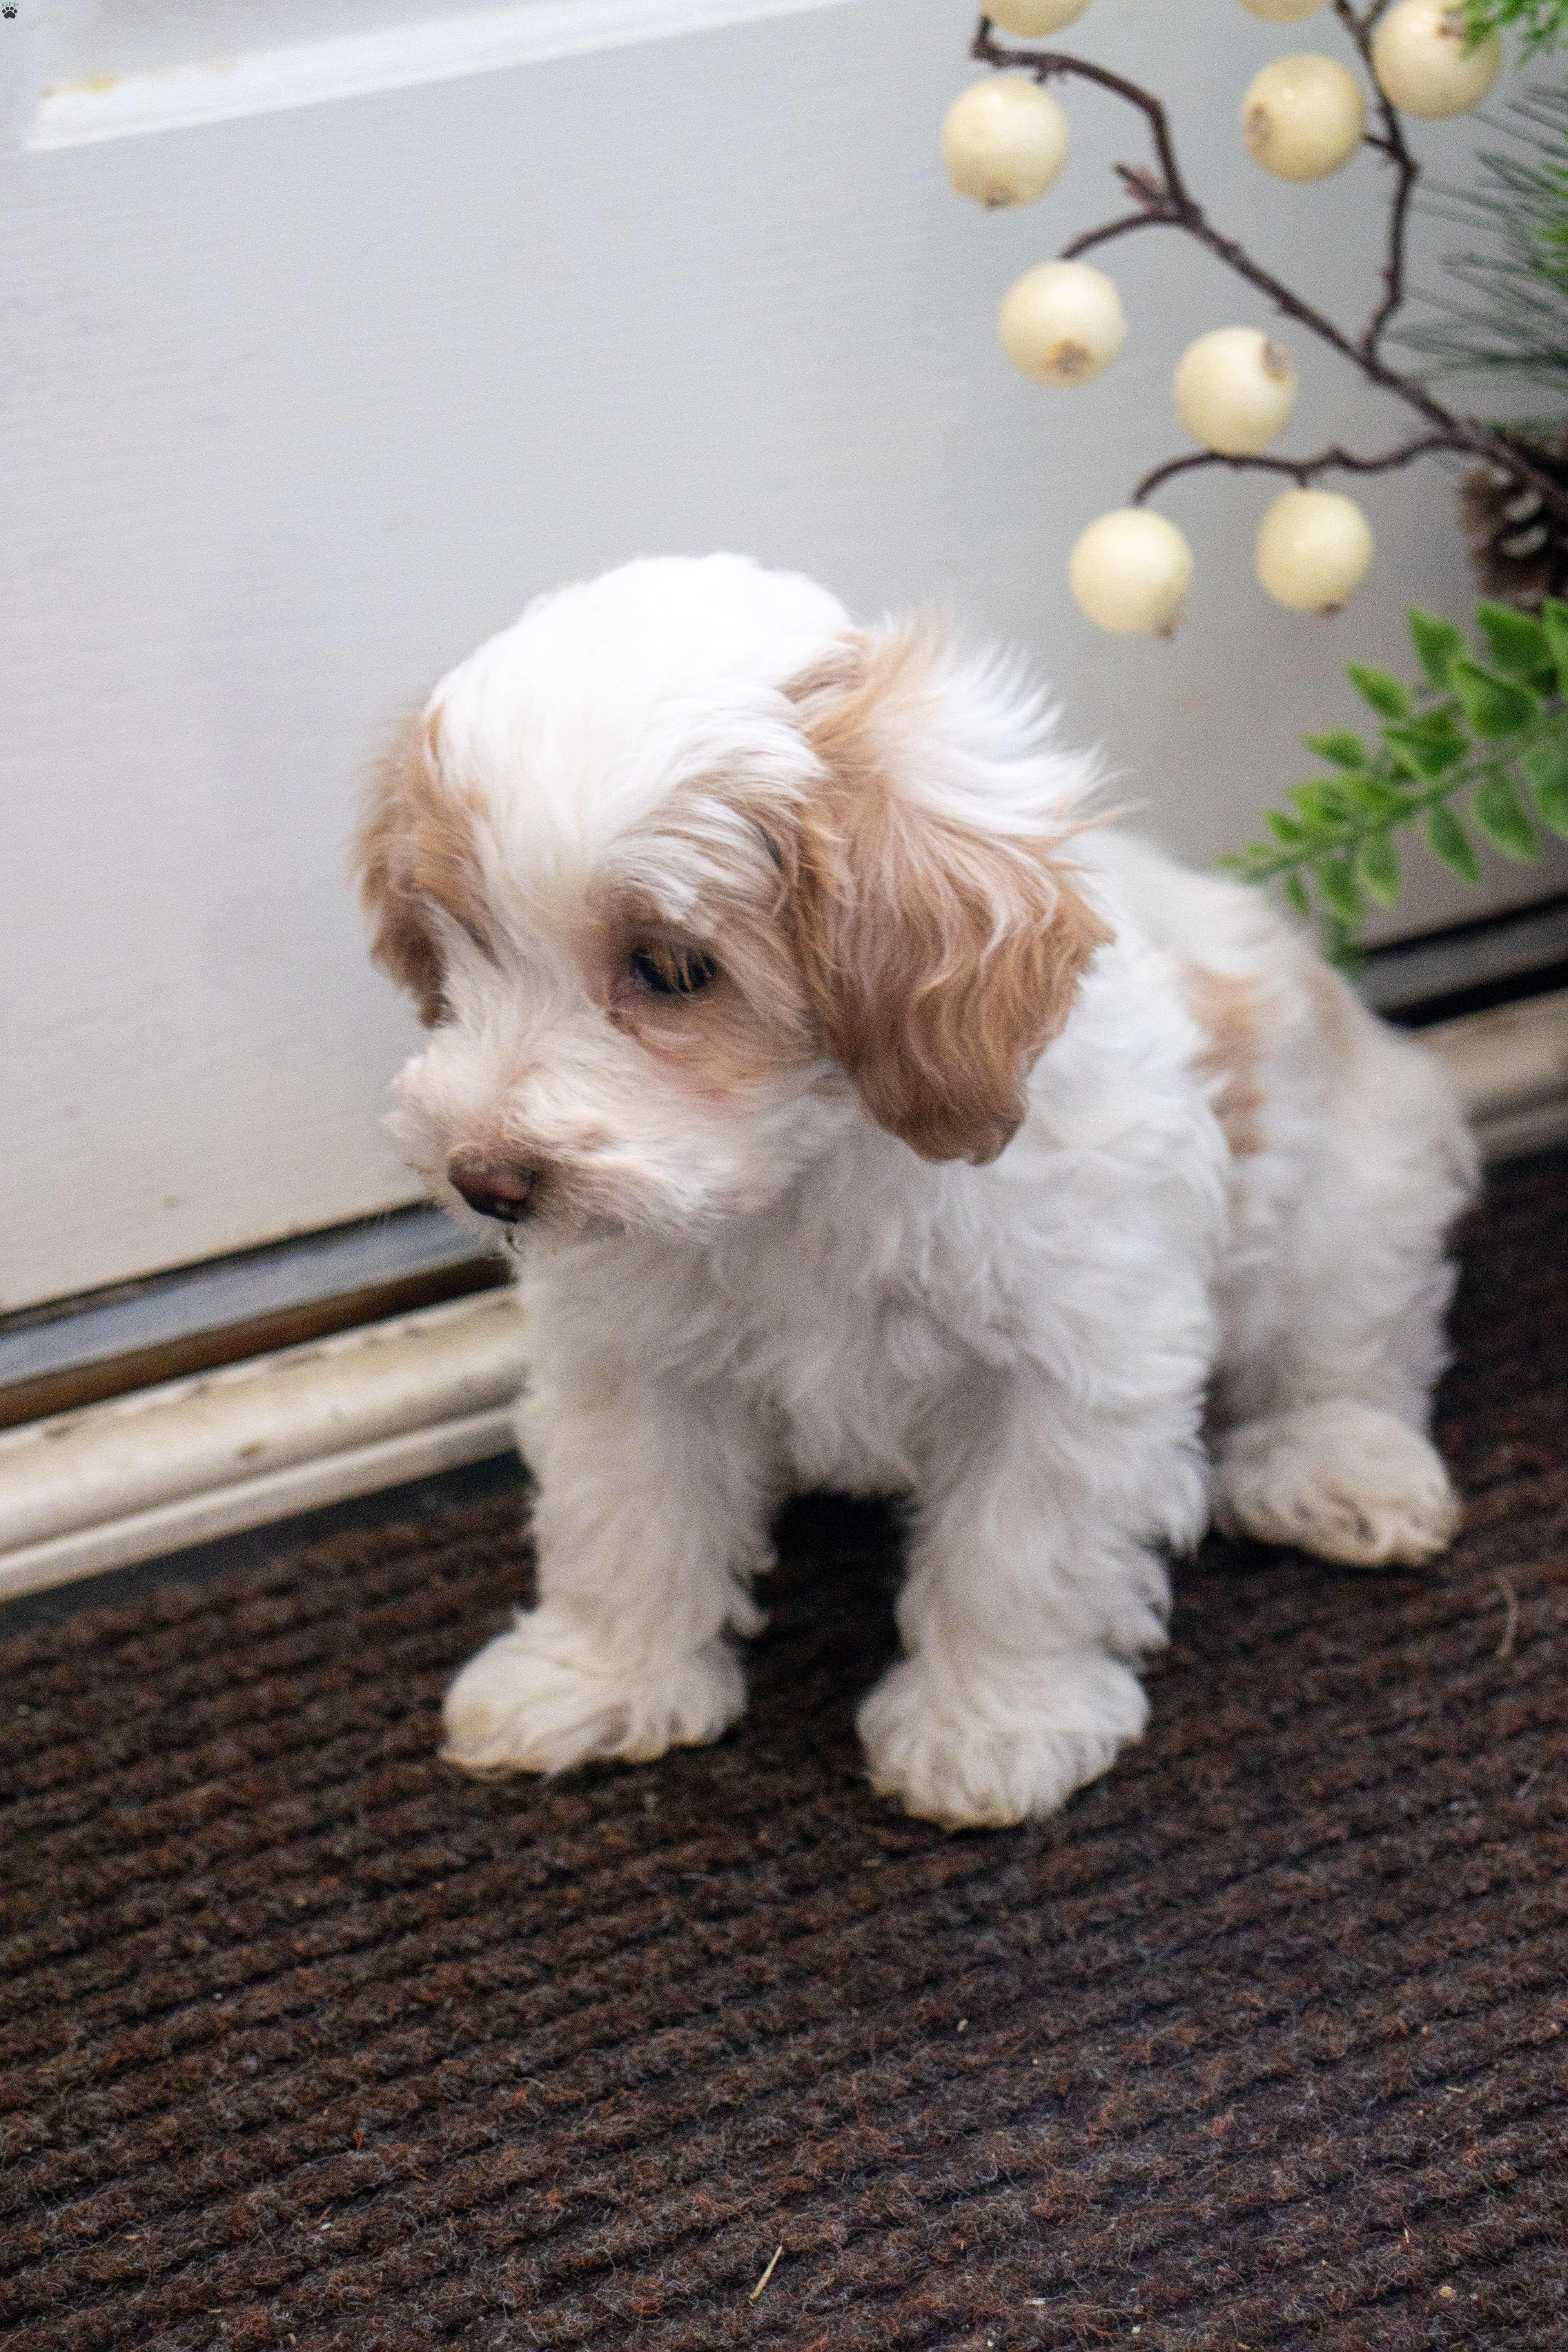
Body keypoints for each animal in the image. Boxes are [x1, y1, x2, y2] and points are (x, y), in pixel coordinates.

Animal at [355, 553, 1478, 1829]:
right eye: (461, 942)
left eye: (674, 967)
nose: (484, 1179)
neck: (801, 1174)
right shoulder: (631, 1351)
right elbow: (622, 1513)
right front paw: (593, 1678)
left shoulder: (1072, 1359)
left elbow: (1017, 1550)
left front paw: (989, 1727)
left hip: (1353, 1186)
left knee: (1350, 1344)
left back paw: (1335, 1468)